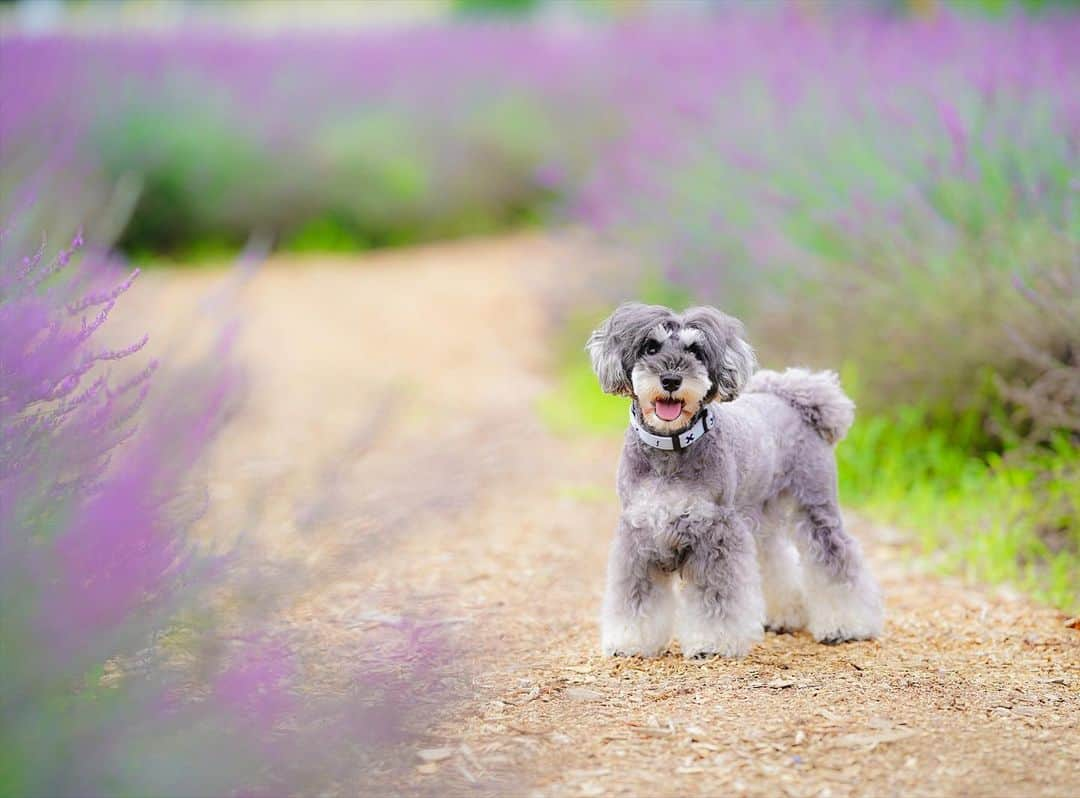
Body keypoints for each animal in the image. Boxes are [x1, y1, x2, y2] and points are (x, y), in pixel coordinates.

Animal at [587, 302, 881, 656]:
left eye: (695, 350)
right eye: (651, 347)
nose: (671, 379)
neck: (670, 449)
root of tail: (792, 399)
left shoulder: (715, 532)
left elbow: (716, 596)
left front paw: (713, 642)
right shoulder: (639, 534)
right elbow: (635, 597)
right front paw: (630, 640)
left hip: (816, 507)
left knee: (836, 560)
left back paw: (846, 625)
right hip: (761, 515)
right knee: (774, 558)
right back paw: (784, 616)